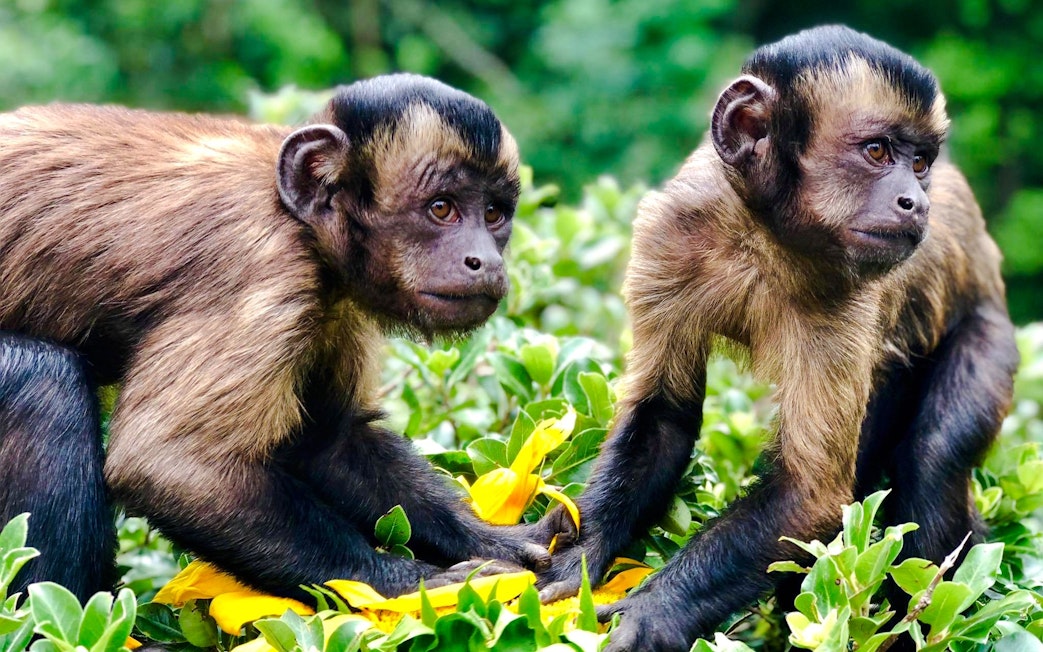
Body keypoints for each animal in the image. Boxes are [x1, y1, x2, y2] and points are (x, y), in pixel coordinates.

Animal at [0, 73, 550, 603]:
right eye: (442, 209)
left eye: (494, 214)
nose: (486, 260)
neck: (300, 221)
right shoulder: (261, 266)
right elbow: (165, 464)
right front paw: (400, 583)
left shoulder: (329, 300)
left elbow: (327, 445)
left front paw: (493, 541)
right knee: (44, 382)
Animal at [525, 26, 1019, 651]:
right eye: (878, 152)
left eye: (921, 162)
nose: (916, 201)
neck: (761, 234)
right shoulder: (668, 232)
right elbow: (663, 418)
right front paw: (579, 557)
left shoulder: (850, 288)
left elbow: (810, 495)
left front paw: (653, 612)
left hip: (991, 333)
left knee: (932, 458)